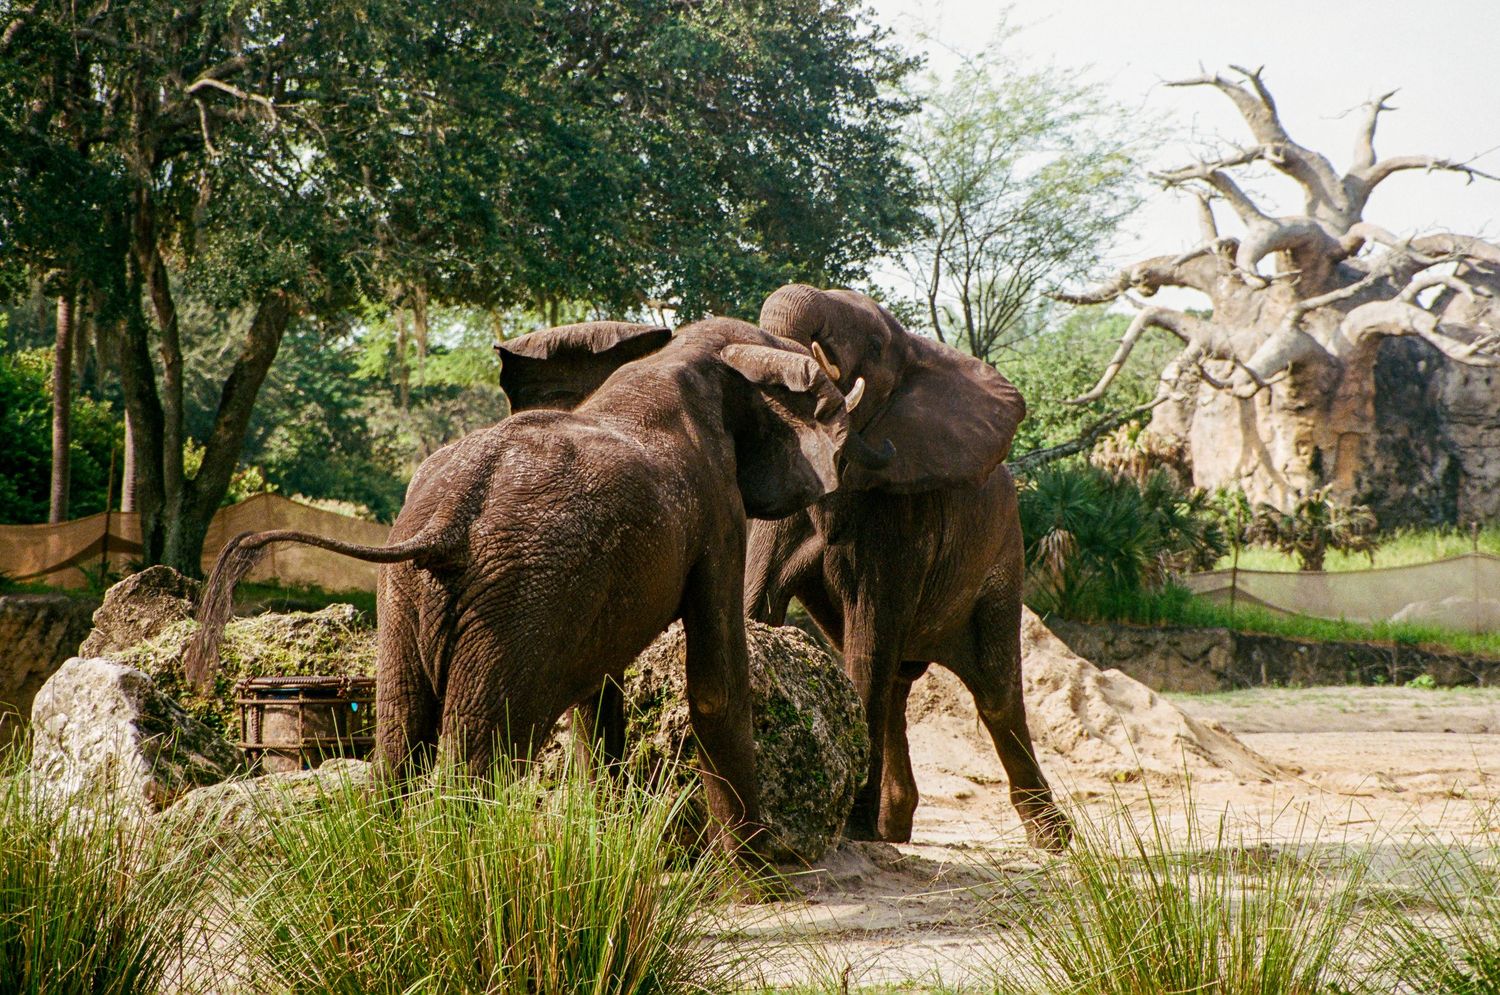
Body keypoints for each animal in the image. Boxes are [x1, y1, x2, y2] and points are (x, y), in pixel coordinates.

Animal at [184, 317, 887, 857]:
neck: (691, 354)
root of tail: (450, 518)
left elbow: (600, 694)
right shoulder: (717, 512)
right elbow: (716, 685)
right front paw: (763, 874)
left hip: (418, 597)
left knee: (399, 742)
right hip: (517, 604)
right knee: (476, 755)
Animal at [741, 285, 1070, 850]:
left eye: (875, 345)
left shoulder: (902, 518)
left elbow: (870, 639)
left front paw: (849, 832)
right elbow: (758, 608)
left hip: (1005, 553)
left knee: (997, 693)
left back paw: (1054, 840)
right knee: (897, 682)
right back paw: (892, 828)